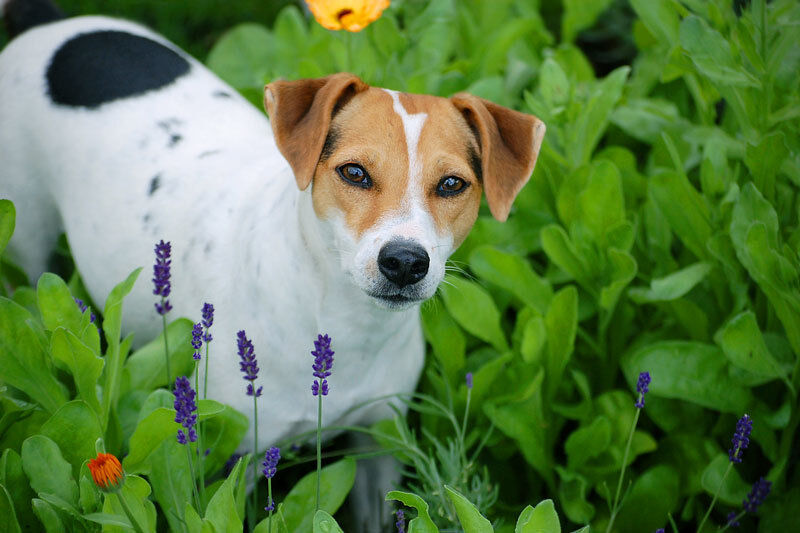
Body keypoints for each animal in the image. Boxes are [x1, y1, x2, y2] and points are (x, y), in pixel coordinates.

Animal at [0, 0, 544, 522]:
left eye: (452, 184)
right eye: (354, 173)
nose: (406, 261)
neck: (344, 320)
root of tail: (48, 22)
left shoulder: (379, 444)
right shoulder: (233, 460)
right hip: (25, 243)